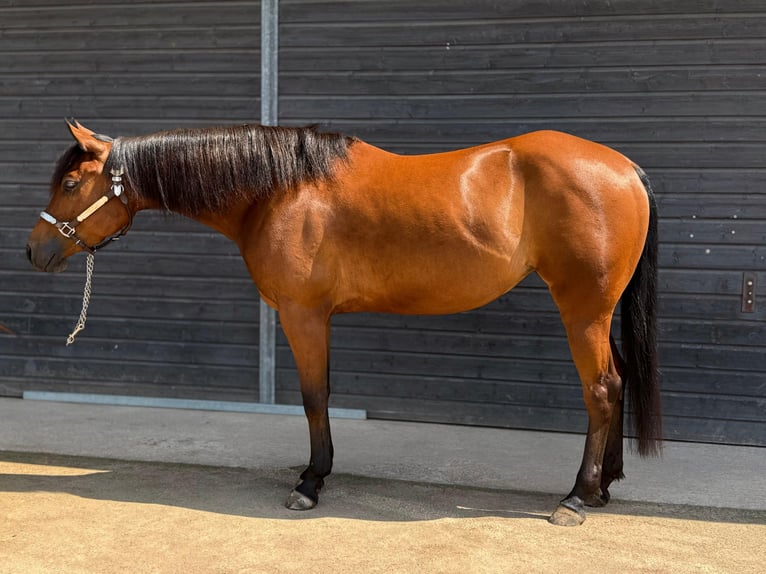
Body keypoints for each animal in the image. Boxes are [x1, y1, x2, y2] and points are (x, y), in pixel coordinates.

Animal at [26, 119, 661, 526]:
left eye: (71, 183)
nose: (35, 252)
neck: (278, 191)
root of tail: (626, 168)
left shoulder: (304, 315)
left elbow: (314, 396)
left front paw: (310, 483)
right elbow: (321, 395)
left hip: (583, 308)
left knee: (601, 389)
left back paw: (576, 499)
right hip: (599, 312)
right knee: (619, 380)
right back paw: (603, 488)